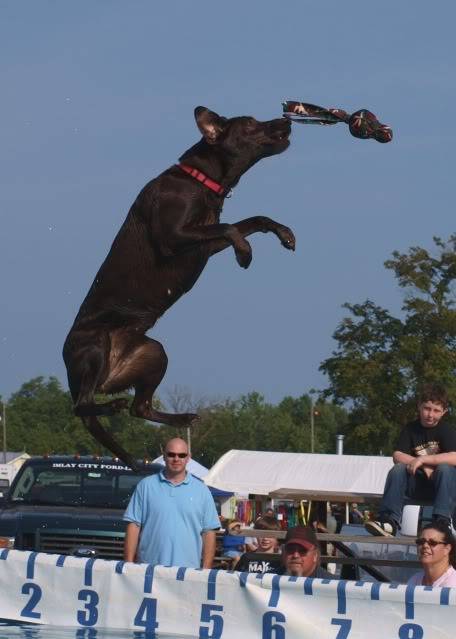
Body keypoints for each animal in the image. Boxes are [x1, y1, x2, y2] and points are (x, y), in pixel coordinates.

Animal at [62, 107, 294, 470]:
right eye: (250, 124)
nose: (287, 119)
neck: (199, 180)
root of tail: (108, 377)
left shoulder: (205, 244)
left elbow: (254, 220)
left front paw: (284, 234)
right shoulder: (174, 237)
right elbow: (230, 227)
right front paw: (245, 253)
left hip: (154, 353)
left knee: (138, 407)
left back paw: (180, 418)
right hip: (95, 346)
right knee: (82, 405)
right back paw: (111, 406)